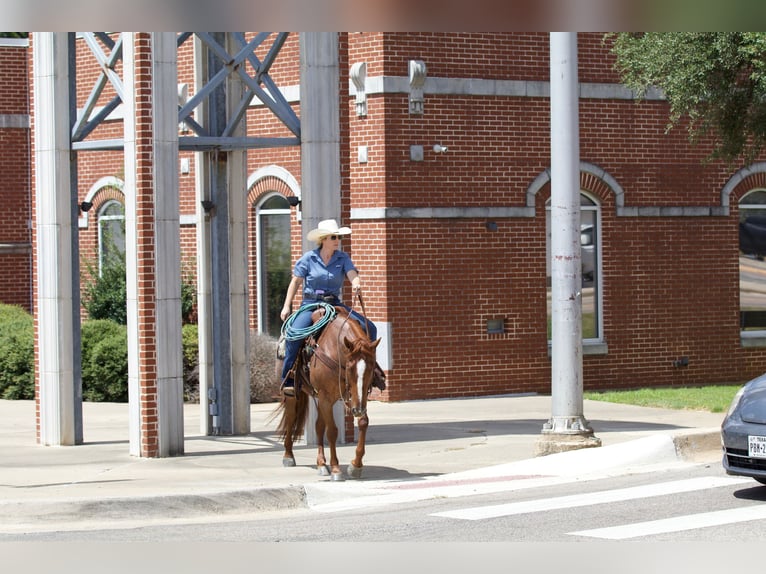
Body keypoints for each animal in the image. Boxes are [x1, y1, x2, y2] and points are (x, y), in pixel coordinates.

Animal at [278, 304, 382, 484]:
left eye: (370, 368)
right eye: (350, 368)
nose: (357, 410)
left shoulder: (357, 397)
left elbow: (363, 423)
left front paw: (355, 465)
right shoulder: (327, 397)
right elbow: (332, 431)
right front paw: (335, 469)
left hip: (319, 398)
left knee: (318, 426)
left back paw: (321, 463)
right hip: (296, 395)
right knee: (291, 418)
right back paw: (288, 456)